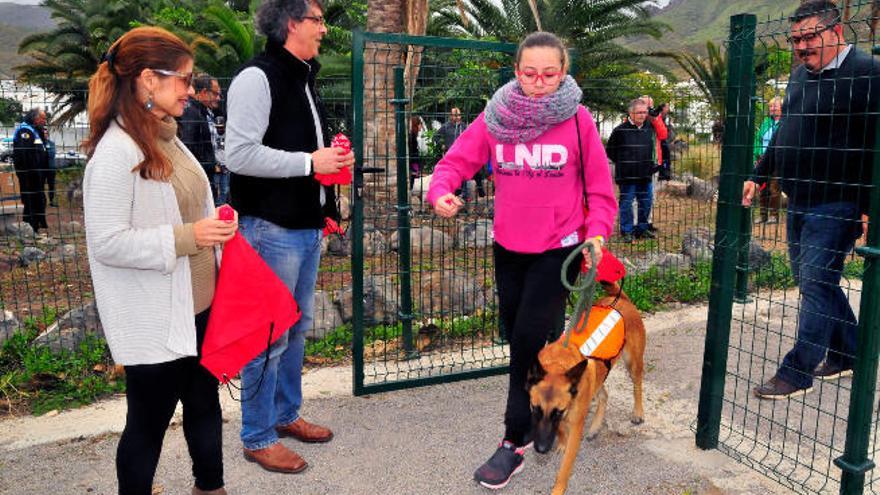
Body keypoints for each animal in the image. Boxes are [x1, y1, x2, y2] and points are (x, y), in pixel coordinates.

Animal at [524, 282, 644, 495]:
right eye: (535, 408)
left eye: (557, 412)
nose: (541, 449)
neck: (558, 365)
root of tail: (618, 299)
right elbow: (560, 430)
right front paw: (561, 442)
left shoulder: (575, 427)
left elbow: (564, 470)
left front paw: (558, 489)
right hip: (598, 376)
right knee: (604, 395)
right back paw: (595, 427)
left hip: (633, 363)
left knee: (637, 385)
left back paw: (638, 412)